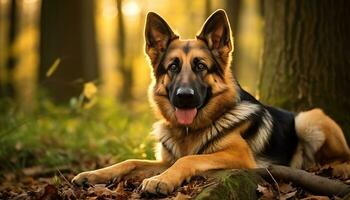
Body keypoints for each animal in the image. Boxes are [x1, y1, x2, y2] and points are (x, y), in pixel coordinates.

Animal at [72, 9, 350, 195]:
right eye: (173, 67)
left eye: (201, 66)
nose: (184, 96)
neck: (189, 131)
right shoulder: (164, 161)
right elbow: (129, 162)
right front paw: (92, 174)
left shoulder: (238, 156)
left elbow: (189, 159)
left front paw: (162, 180)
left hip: (308, 119)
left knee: (342, 157)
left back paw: (338, 169)